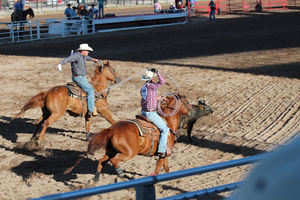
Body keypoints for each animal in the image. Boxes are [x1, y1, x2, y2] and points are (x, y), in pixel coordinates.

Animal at [64, 93, 193, 180]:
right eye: (187, 102)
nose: (191, 111)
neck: (167, 123)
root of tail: (111, 129)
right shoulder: (163, 153)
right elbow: (158, 168)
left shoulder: (165, 154)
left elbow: (166, 168)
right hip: (129, 153)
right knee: (114, 161)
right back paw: (121, 174)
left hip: (111, 151)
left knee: (101, 161)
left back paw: (95, 180)